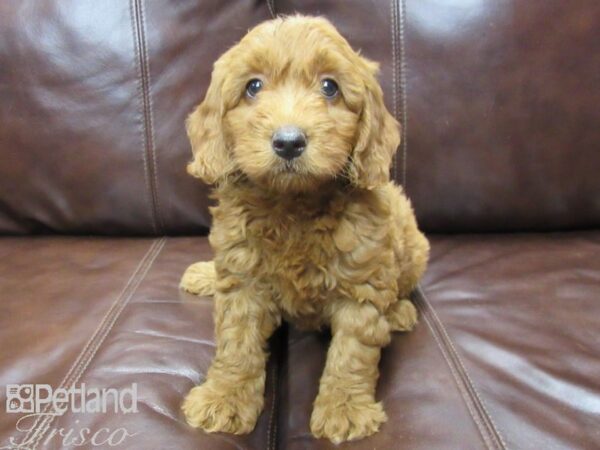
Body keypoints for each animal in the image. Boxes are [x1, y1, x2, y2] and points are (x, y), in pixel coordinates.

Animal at [180, 14, 428, 442]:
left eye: (330, 87)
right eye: (253, 86)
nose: (289, 142)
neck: (293, 205)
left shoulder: (361, 287)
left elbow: (352, 353)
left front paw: (345, 409)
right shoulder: (243, 279)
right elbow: (236, 343)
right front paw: (224, 397)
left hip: (413, 244)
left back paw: (398, 311)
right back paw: (204, 275)